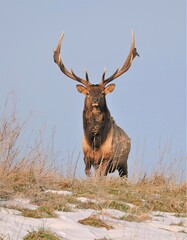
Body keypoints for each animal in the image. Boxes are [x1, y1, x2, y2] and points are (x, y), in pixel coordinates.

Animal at [53, 31, 138, 176]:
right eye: (88, 92)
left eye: (102, 93)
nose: (95, 99)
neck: (95, 143)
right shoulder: (86, 158)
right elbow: (89, 174)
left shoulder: (107, 158)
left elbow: (99, 177)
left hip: (123, 163)